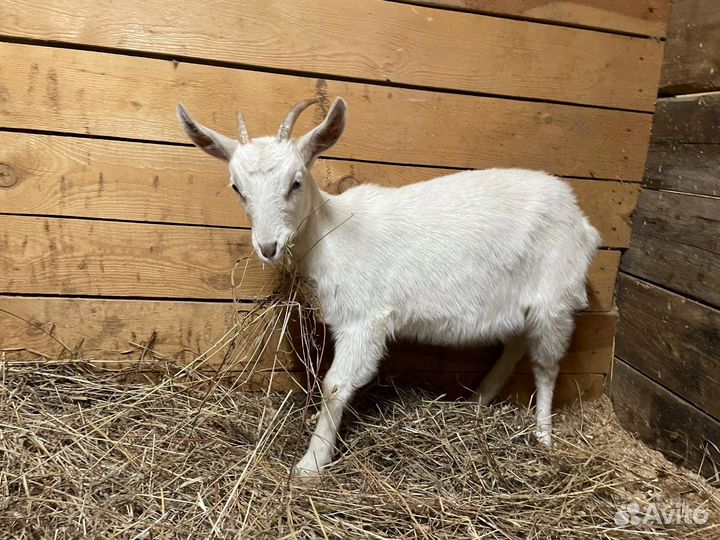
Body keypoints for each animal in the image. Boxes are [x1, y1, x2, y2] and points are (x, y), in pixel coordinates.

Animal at [177, 98, 600, 475]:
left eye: (295, 182)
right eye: (236, 188)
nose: (268, 246)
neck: (331, 233)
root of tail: (581, 220)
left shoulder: (365, 319)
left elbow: (334, 386)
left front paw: (311, 464)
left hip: (556, 296)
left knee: (546, 366)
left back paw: (543, 436)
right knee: (516, 344)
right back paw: (478, 400)